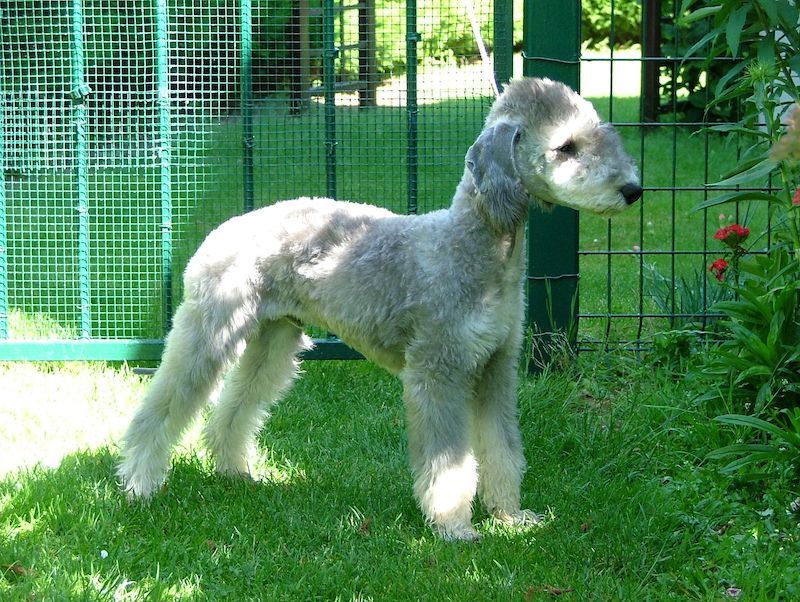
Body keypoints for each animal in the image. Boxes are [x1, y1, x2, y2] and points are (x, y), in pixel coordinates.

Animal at [120, 76, 644, 540]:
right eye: (565, 147)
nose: (633, 190)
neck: (474, 246)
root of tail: (219, 231)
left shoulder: (496, 368)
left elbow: (503, 448)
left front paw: (510, 517)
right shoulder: (438, 371)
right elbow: (448, 461)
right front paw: (454, 527)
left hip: (275, 336)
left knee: (235, 407)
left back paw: (233, 472)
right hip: (211, 329)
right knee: (160, 407)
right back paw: (139, 483)